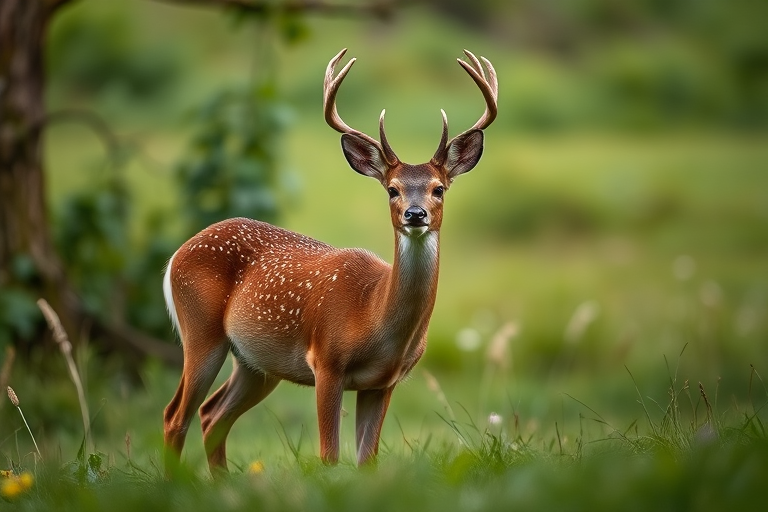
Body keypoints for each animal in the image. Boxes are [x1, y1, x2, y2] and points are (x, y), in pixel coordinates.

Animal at [162, 48, 497, 474]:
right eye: (392, 189)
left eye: (439, 189)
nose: (415, 214)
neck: (373, 315)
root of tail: (178, 252)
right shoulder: (325, 360)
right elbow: (329, 456)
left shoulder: (383, 382)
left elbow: (367, 460)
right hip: (202, 332)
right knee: (176, 415)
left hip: (256, 363)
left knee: (212, 415)